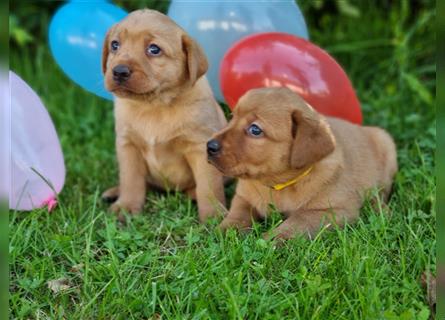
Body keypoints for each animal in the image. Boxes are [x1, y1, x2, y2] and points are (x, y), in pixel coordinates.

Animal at [100, 8, 225, 221]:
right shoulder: (128, 146)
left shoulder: (201, 147)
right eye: (115, 45)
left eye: (154, 49)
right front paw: (125, 207)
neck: (154, 106)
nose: (119, 71)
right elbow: (130, 180)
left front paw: (213, 215)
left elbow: (209, 187)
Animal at [206, 87, 398, 238]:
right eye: (232, 116)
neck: (280, 184)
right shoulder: (244, 197)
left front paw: (272, 240)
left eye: (255, 129)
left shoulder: (335, 211)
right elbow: (238, 213)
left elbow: (298, 221)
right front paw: (224, 231)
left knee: (380, 193)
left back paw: (381, 210)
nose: (209, 146)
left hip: (386, 145)